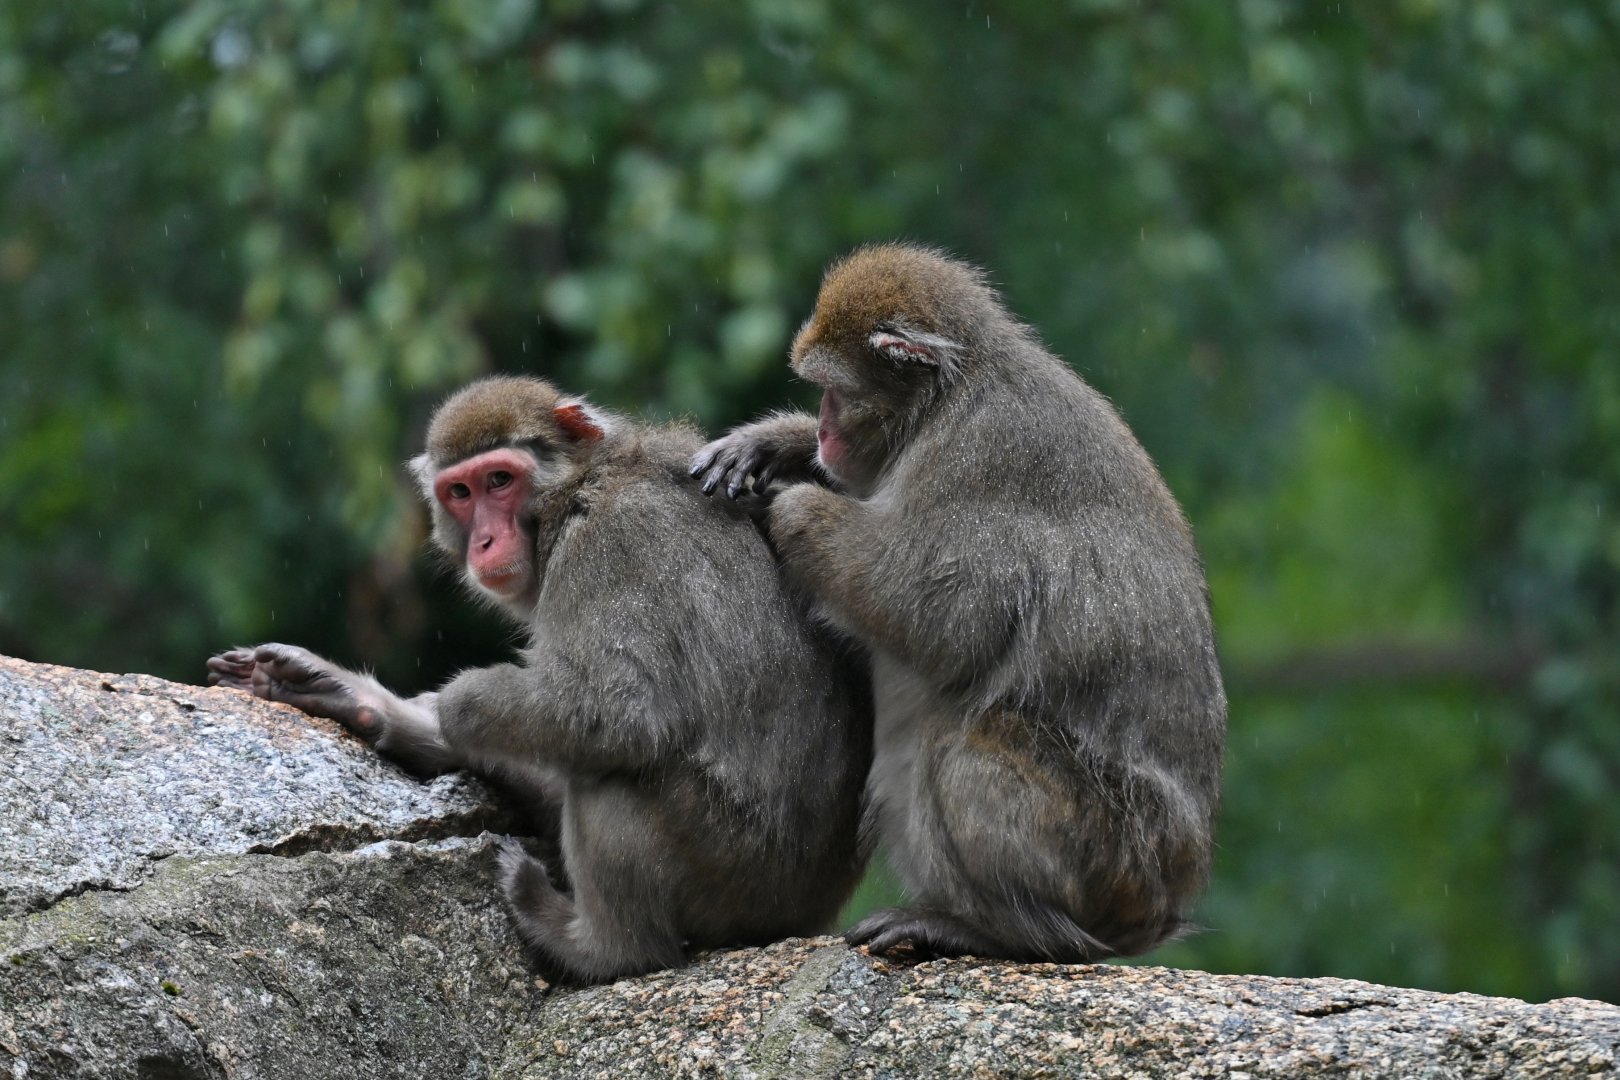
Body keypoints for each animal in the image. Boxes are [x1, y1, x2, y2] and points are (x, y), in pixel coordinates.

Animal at [209, 375, 872, 984]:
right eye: (460, 492)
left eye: (500, 481)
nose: (484, 540)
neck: (578, 488)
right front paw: (366, 705)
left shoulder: (605, 544)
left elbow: (620, 713)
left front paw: (456, 704)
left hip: (732, 867)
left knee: (614, 773)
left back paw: (602, 947)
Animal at [690, 243, 1226, 963]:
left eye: (838, 390)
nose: (823, 426)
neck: (945, 402)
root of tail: (1165, 903)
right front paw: (773, 445)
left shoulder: (977, 456)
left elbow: (943, 617)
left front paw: (790, 504)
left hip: (1111, 857)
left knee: (961, 739)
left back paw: (994, 930)